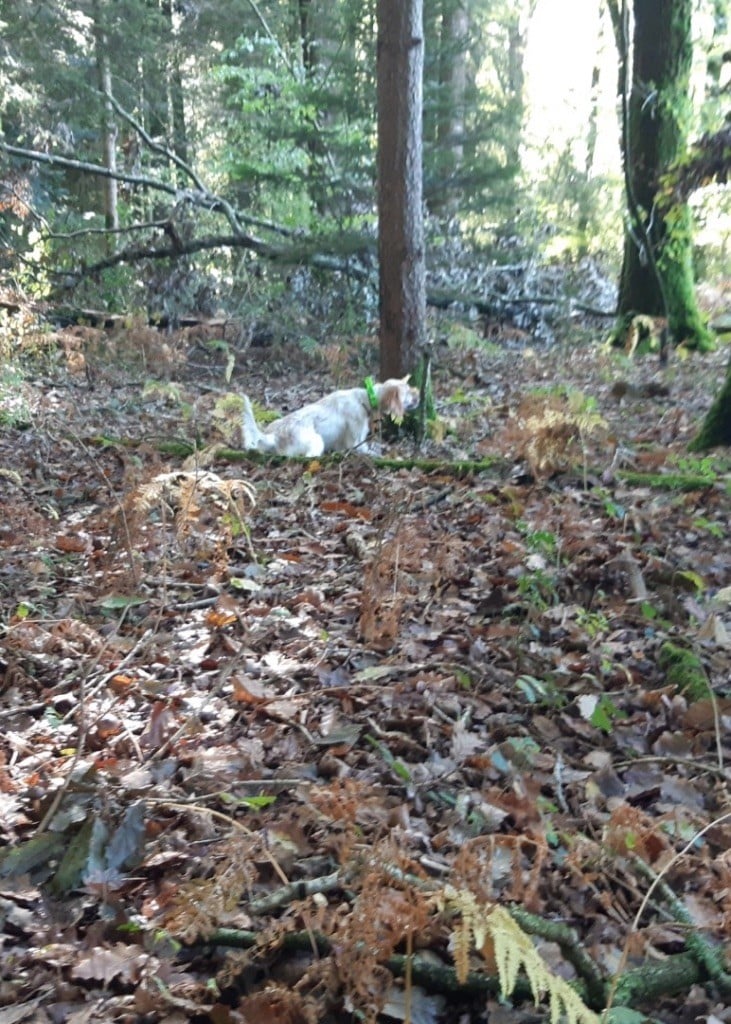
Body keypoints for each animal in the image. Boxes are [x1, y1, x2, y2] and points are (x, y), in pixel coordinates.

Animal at [241, 376, 417, 456]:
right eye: (407, 392)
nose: (418, 396)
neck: (364, 398)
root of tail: (274, 435)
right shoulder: (355, 442)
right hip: (316, 441)